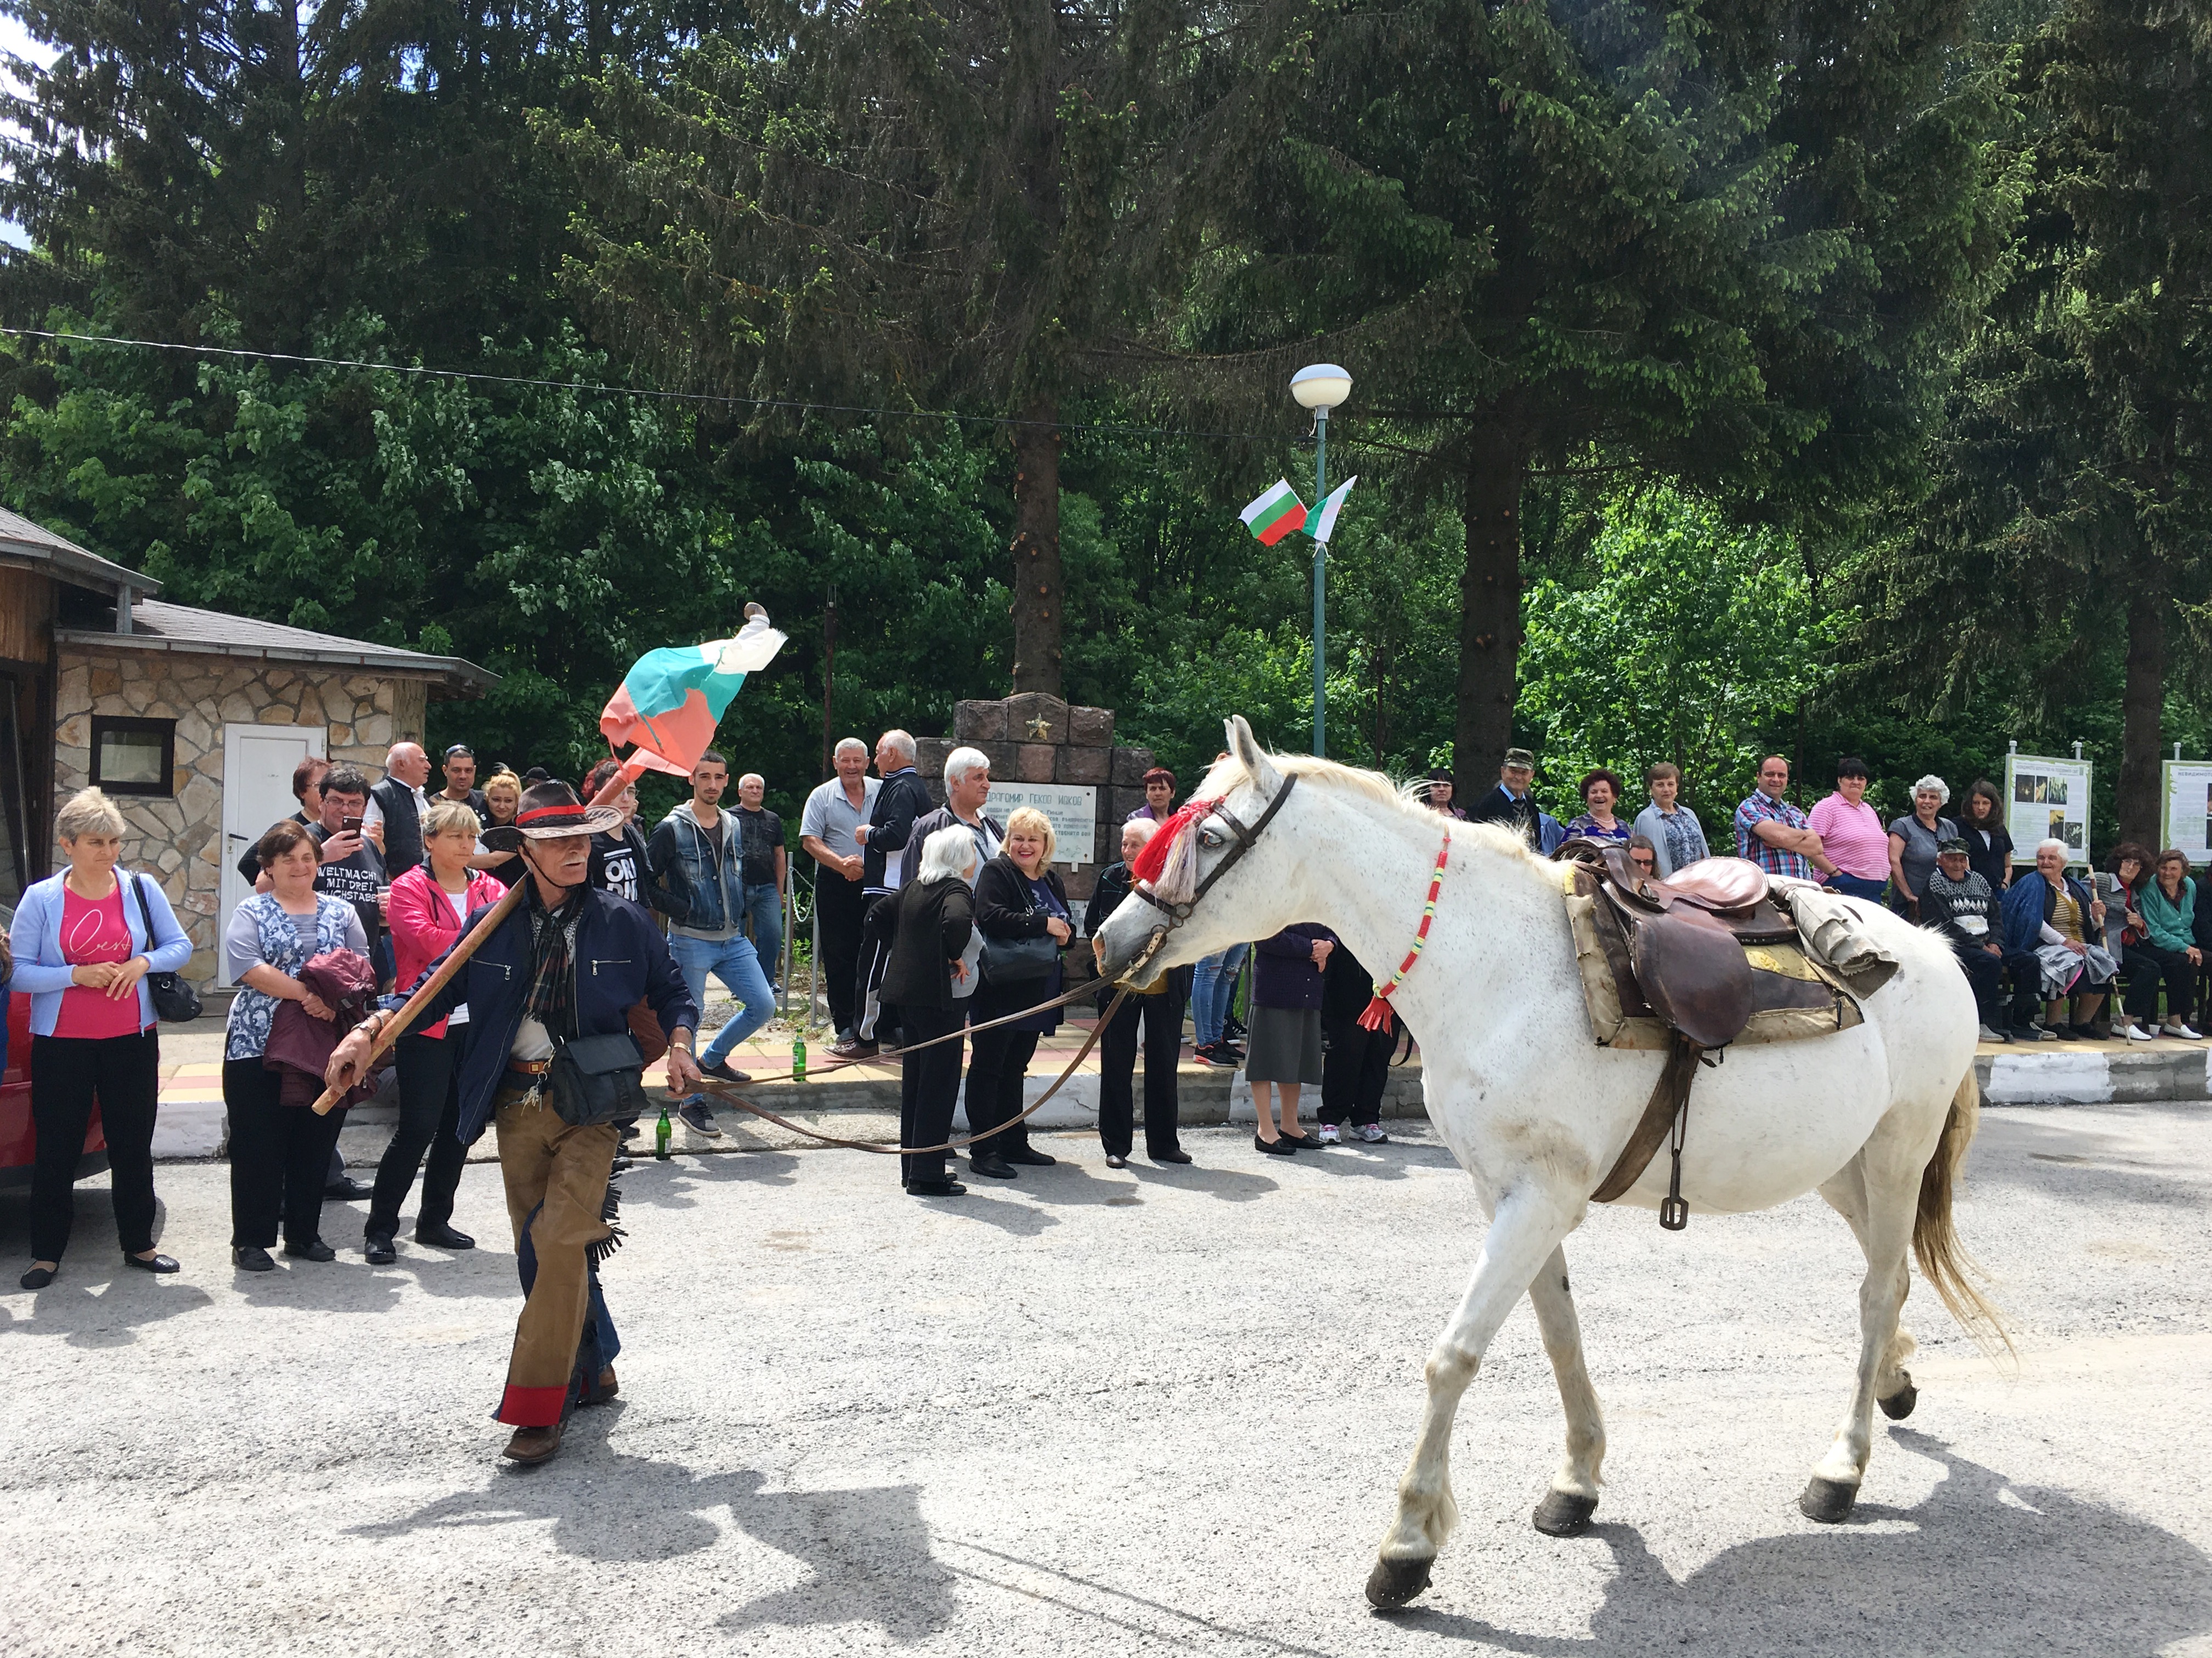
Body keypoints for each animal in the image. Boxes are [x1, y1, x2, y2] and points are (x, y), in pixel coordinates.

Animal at [1092, 716, 2008, 1609]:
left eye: (1212, 834)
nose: (1110, 940)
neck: (1496, 969)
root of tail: (1934, 948)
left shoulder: (1538, 1197)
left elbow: (1455, 1355)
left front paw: (1408, 1545)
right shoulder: (1510, 1192)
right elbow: (1559, 1333)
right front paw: (1577, 1481)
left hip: (1897, 1151)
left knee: (1879, 1290)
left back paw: (1841, 1468)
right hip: (1842, 1167)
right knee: (1888, 1279)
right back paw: (1893, 1380)